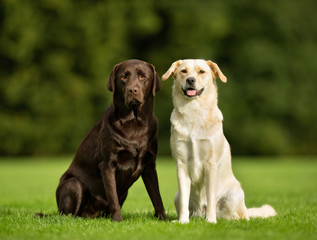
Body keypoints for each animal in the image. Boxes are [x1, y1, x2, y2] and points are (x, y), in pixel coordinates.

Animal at [162, 59, 276, 223]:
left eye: (201, 71)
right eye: (184, 71)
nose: (190, 80)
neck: (194, 111)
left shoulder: (210, 165)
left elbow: (210, 196)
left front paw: (211, 221)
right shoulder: (181, 165)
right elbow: (184, 199)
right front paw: (183, 221)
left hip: (234, 194)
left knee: (238, 216)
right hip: (176, 196)